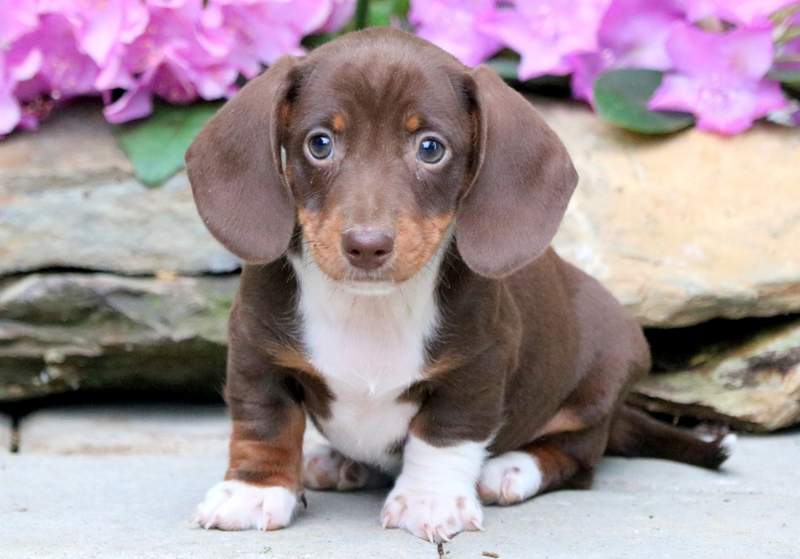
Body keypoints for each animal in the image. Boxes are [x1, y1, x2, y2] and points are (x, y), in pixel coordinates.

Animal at [184, 26, 736, 544]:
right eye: (319, 143)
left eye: (431, 148)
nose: (366, 245)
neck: (372, 307)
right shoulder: (256, 351)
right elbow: (264, 420)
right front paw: (254, 490)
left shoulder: (477, 366)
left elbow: (444, 434)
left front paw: (428, 500)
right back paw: (341, 462)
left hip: (601, 384)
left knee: (577, 458)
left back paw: (510, 469)